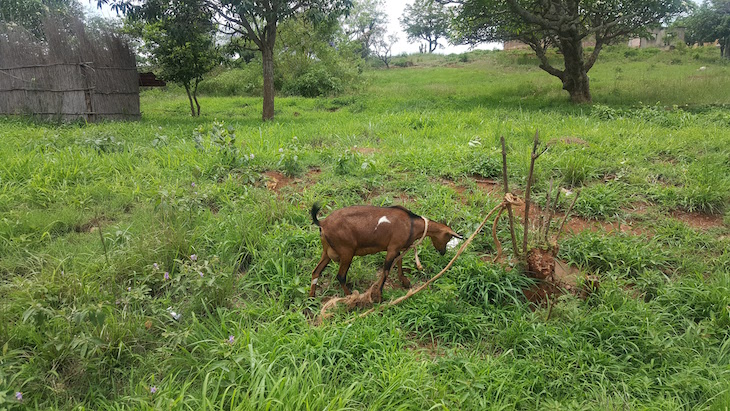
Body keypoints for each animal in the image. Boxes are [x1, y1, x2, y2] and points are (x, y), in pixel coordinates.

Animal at [308, 204, 460, 302]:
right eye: (448, 237)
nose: (443, 252)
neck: (412, 224)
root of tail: (323, 223)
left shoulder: (396, 247)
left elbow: (399, 261)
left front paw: (405, 282)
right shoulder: (392, 248)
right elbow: (386, 271)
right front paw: (379, 296)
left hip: (327, 251)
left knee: (316, 271)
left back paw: (311, 299)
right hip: (346, 252)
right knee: (340, 276)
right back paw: (351, 297)